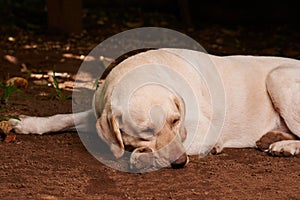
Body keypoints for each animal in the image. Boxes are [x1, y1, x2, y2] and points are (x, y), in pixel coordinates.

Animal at [8, 48, 298, 170]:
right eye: (146, 130)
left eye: (175, 121)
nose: (181, 163)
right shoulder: (98, 112)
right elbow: (62, 118)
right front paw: (27, 123)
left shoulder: (203, 129)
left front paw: (143, 157)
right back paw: (272, 138)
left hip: (278, 77)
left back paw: (285, 146)